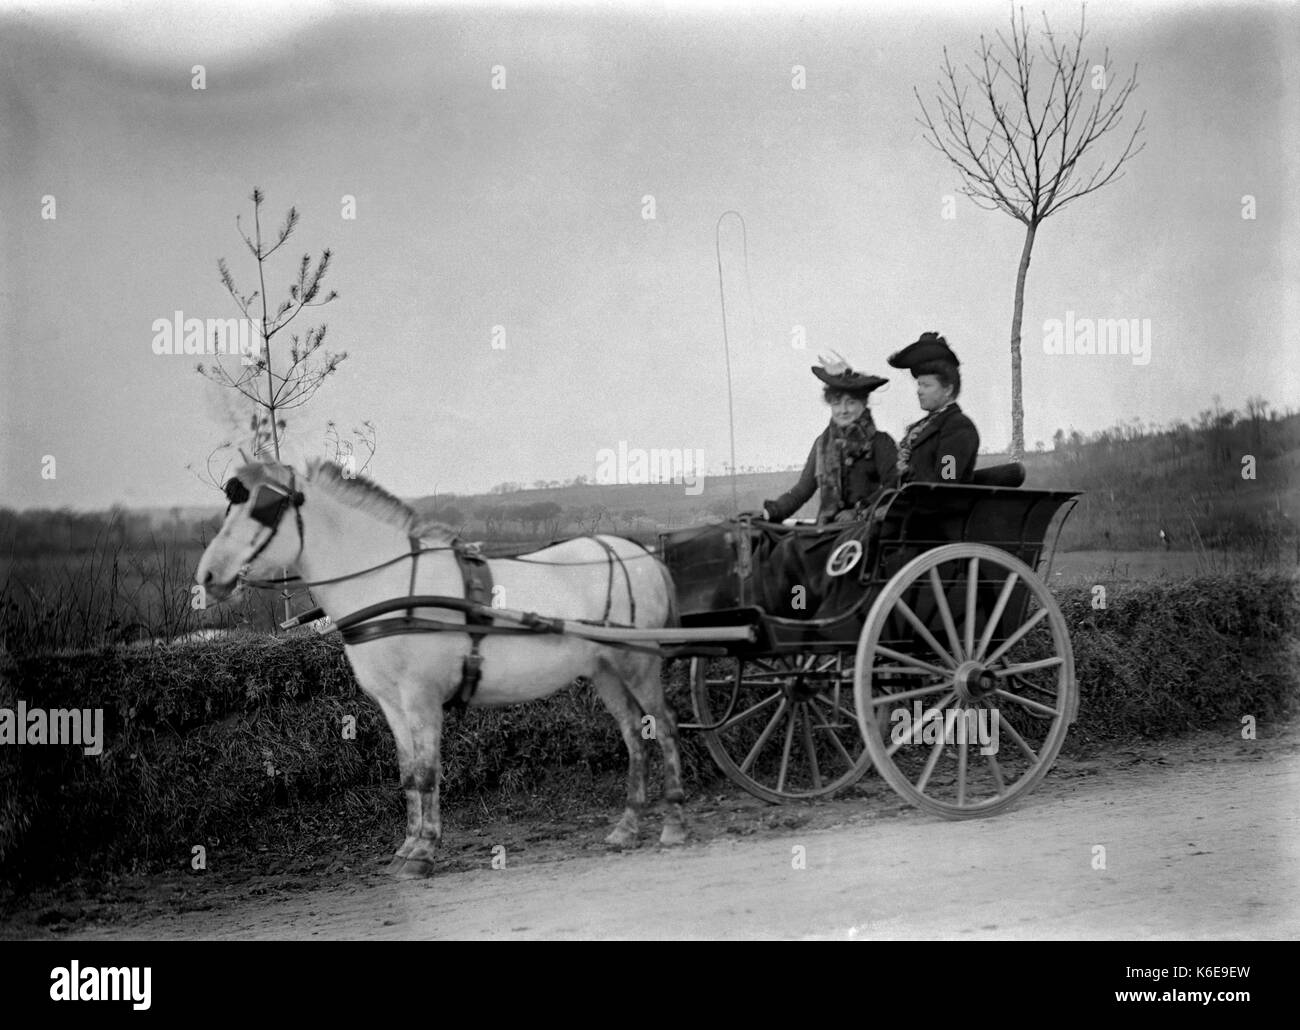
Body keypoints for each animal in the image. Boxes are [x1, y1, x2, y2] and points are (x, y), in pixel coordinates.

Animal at [197, 457, 686, 879]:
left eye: (263, 508)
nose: (207, 577)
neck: (388, 585)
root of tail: (637, 552)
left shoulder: (421, 697)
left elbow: (429, 771)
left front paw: (424, 852)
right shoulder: (392, 703)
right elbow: (409, 774)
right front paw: (407, 848)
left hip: (638, 662)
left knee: (663, 726)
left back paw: (673, 823)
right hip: (605, 669)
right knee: (633, 734)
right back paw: (627, 827)